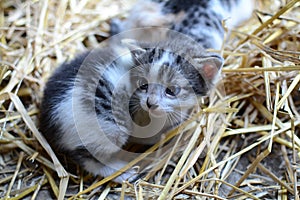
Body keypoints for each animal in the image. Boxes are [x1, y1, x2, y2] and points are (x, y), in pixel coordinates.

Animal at [38, 0, 252, 183]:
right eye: (143, 85)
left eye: (171, 90)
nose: (150, 103)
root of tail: (47, 120)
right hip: (108, 126)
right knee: (87, 156)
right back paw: (120, 171)